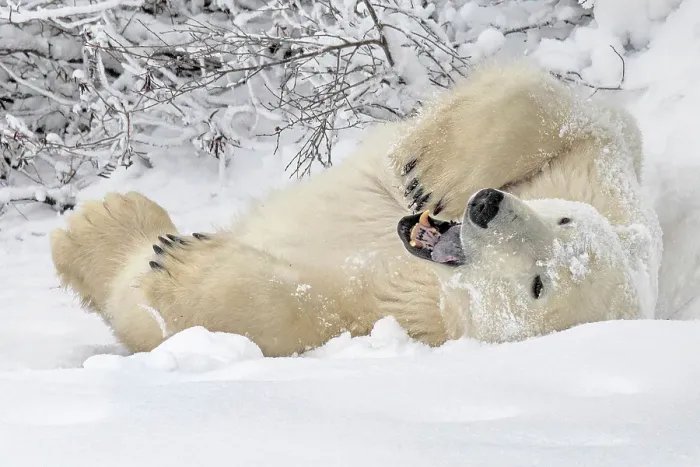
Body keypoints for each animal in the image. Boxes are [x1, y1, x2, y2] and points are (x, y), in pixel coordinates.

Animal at [50, 60, 662, 357]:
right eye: (564, 219)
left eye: (539, 286)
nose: (486, 207)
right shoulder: (605, 181)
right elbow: (580, 110)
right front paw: (430, 173)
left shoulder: (401, 316)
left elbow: (302, 313)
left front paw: (174, 265)